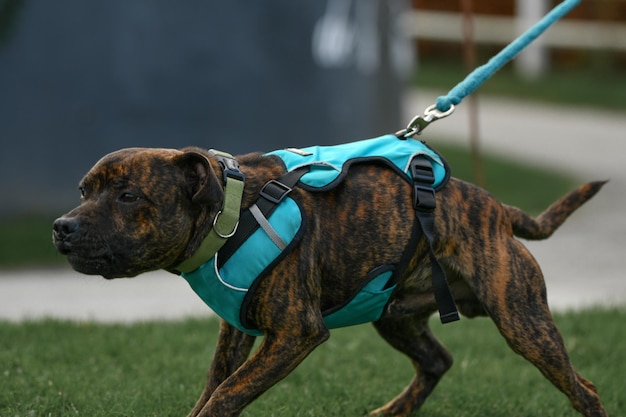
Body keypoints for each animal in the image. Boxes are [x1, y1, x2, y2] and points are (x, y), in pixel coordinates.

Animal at [52, 145, 604, 414]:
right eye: (82, 191)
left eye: (128, 196)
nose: (61, 226)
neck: (229, 210)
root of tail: (498, 211)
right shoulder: (235, 332)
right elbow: (214, 386)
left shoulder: (294, 334)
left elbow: (227, 394)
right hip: (394, 315)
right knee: (438, 360)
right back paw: (391, 412)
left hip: (522, 321)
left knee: (585, 389)